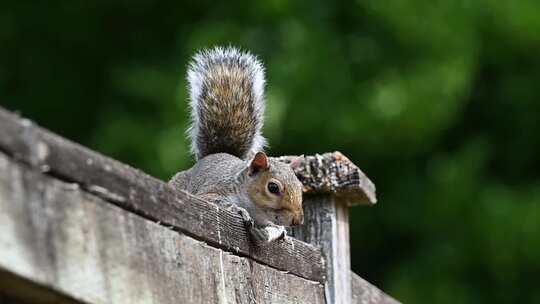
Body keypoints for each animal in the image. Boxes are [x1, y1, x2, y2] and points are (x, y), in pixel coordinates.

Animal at [169, 45, 304, 245]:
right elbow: (216, 201)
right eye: (273, 188)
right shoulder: (213, 191)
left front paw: (278, 231)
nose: (297, 220)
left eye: (301, 187)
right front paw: (239, 210)